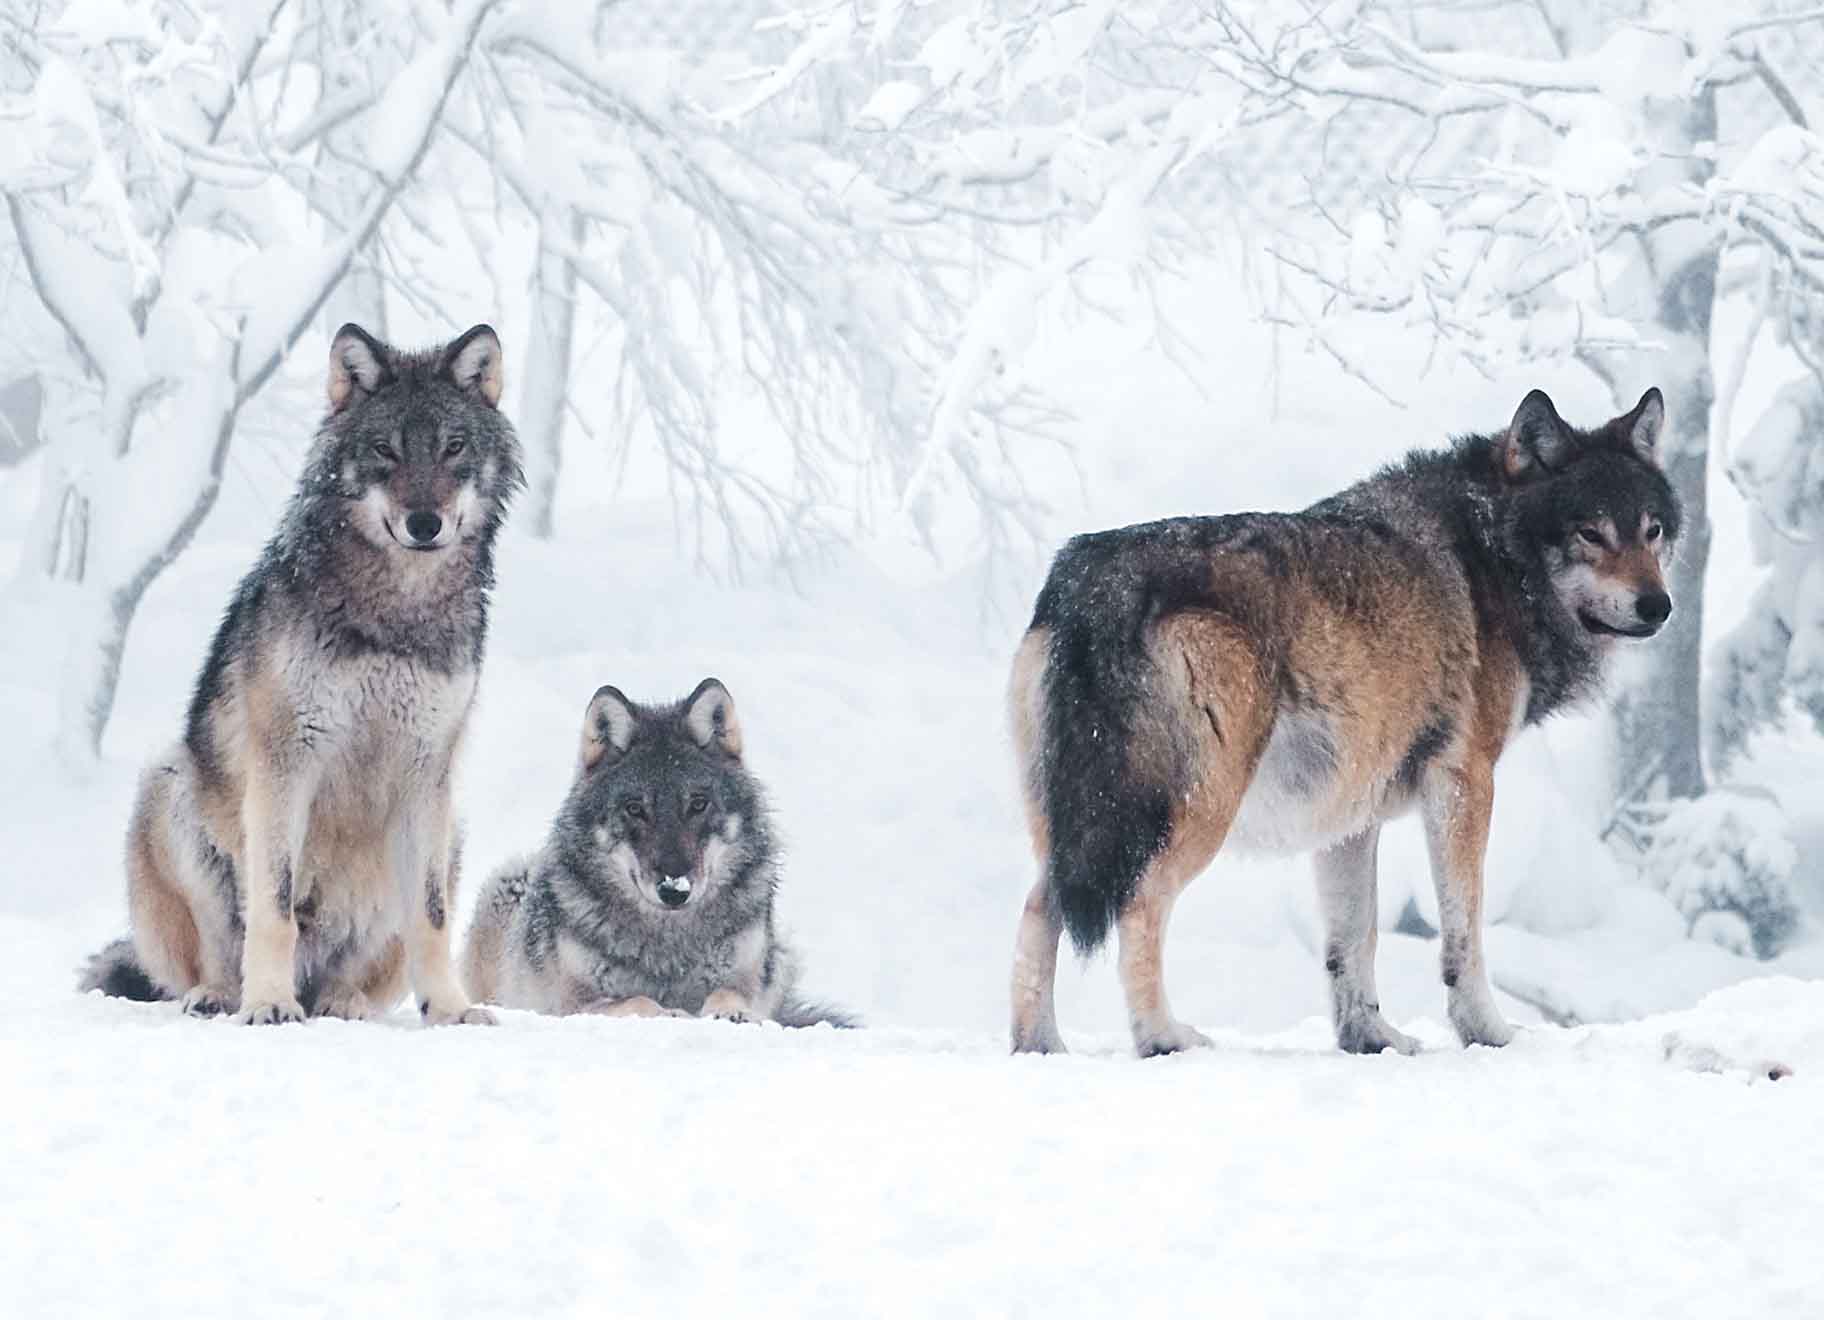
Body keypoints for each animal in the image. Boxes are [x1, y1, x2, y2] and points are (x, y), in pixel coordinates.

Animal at [82, 324, 525, 1028]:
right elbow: (276, 905)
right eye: (385, 449)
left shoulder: (427, 772)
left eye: (453, 447)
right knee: (213, 957)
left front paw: (451, 1009)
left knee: (351, 973)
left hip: (450, 832)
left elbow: (430, 917)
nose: (424, 524)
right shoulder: (287, 759)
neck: (395, 612)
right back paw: (224, 995)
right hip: (170, 785)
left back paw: (342, 1002)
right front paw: (267, 1001)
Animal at [463, 674, 846, 1028]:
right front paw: (669, 1013)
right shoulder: (572, 1005)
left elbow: (728, 993)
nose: (674, 890)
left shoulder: (747, 976)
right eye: (635, 809)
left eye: (698, 804)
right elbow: (638, 1000)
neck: (669, 944)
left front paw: (731, 1012)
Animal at [1014, 386, 1678, 1057]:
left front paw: (1370, 1037)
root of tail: (1097, 585)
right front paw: (1488, 1033)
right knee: (1140, 906)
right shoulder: (1465, 781)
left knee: (1040, 909)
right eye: (1590, 533)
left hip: (1072, 824)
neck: (1492, 555)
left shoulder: (1349, 815)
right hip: (1192, 813)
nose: (1659, 605)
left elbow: (1354, 938)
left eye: (1652, 530)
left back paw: (1038, 1047)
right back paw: (1163, 1038)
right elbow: (1464, 931)